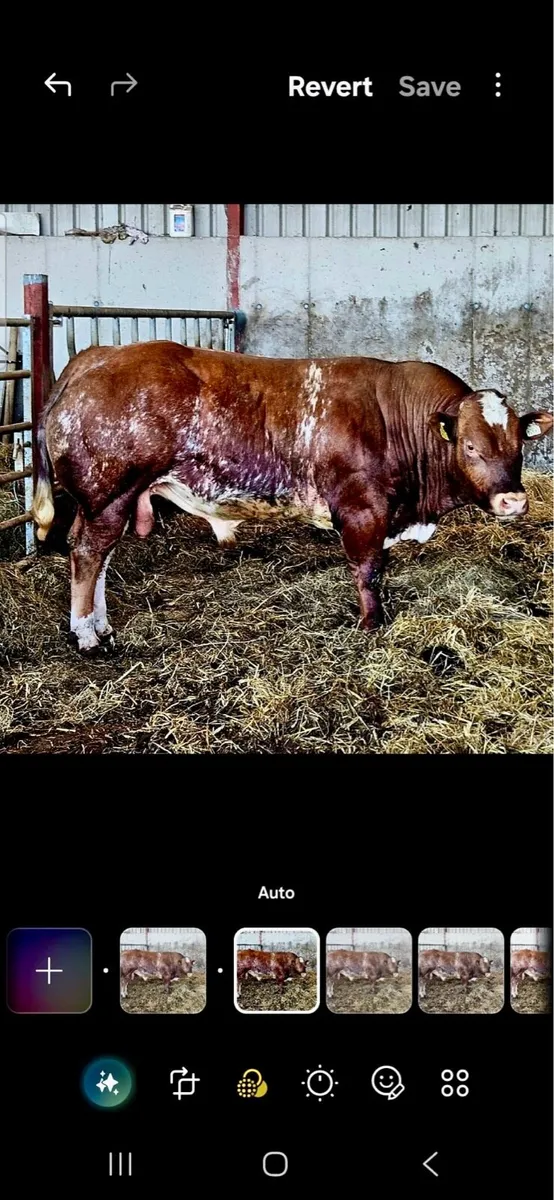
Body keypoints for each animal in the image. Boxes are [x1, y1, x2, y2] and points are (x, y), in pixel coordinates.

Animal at [30, 342, 553, 654]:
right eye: (470, 446)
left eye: (519, 444)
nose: (513, 501)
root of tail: (96, 355)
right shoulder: (362, 510)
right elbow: (368, 572)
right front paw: (370, 626)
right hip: (107, 493)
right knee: (87, 553)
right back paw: (86, 635)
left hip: (111, 499)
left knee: (100, 555)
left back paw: (100, 625)